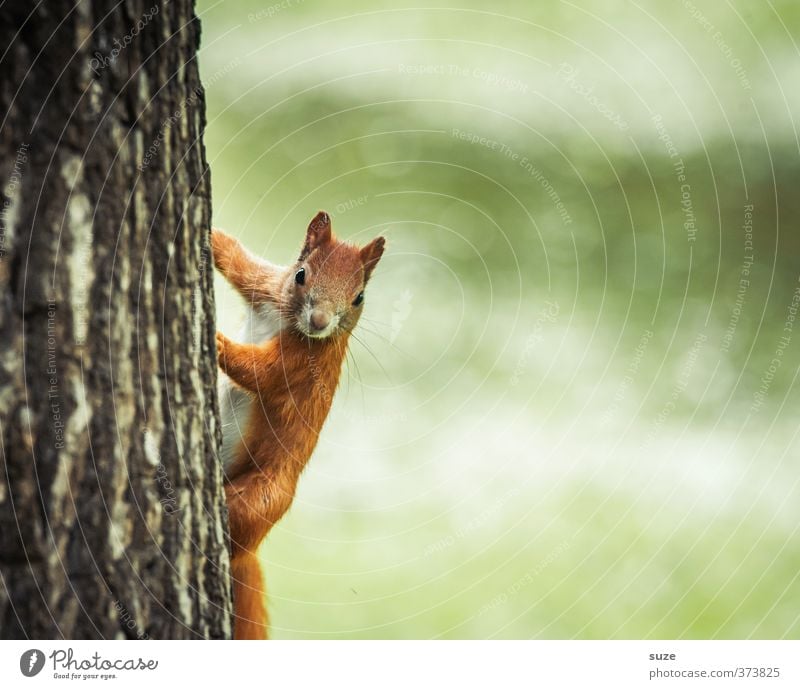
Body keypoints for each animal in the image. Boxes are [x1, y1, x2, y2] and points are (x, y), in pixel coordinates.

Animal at [211, 211, 386, 640]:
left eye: (359, 297)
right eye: (301, 274)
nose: (320, 322)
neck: (287, 321)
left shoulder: (299, 369)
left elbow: (258, 372)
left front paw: (218, 341)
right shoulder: (266, 285)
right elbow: (235, 257)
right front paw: (208, 235)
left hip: (263, 497)